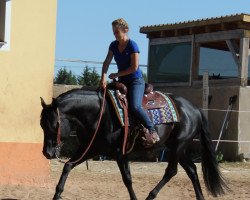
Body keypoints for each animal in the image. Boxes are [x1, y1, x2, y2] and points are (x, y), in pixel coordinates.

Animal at [39, 88, 227, 199]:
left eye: (54, 125)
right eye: (41, 124)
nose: (47, 153)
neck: (100, 114)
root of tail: (195, 109)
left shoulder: (120, 153)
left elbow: (127, 179)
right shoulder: (90, 149)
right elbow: (68, 166)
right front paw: (57, 194)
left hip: (178, 147)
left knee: (171, 171)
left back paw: (150, 195)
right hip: (178, 148)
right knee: (192, 170)